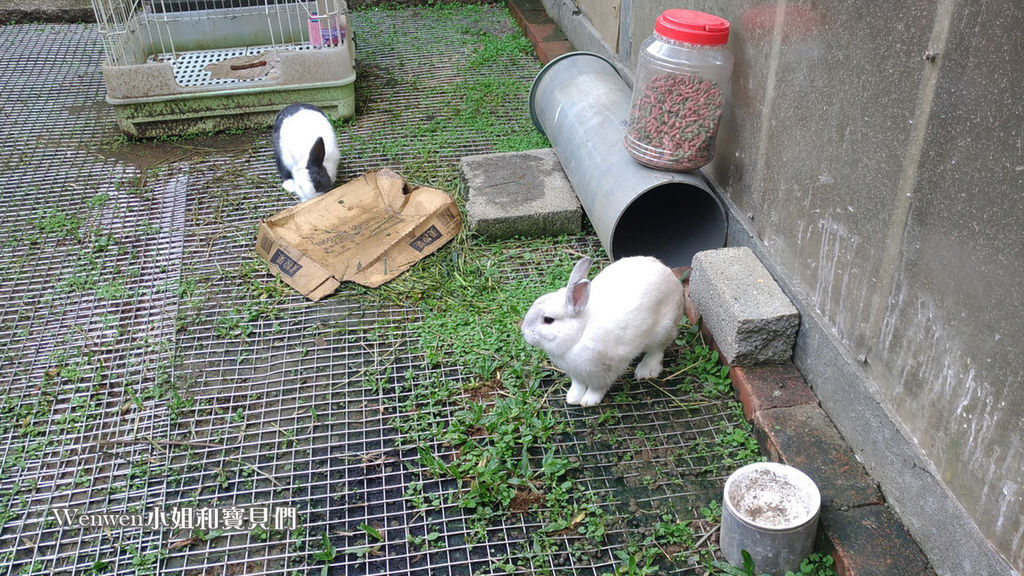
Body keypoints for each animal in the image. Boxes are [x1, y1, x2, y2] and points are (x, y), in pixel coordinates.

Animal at [520, 253, 688, 405]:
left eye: (548, 320)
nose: (524, 332)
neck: (579, 335)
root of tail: (668, 272)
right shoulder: (576, 374)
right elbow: (578, 385)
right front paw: (573, 398)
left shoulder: (604, 372)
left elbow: (597, 388)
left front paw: (589, 401)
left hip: (663, 330)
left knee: (657, 350)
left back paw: (646, 370)